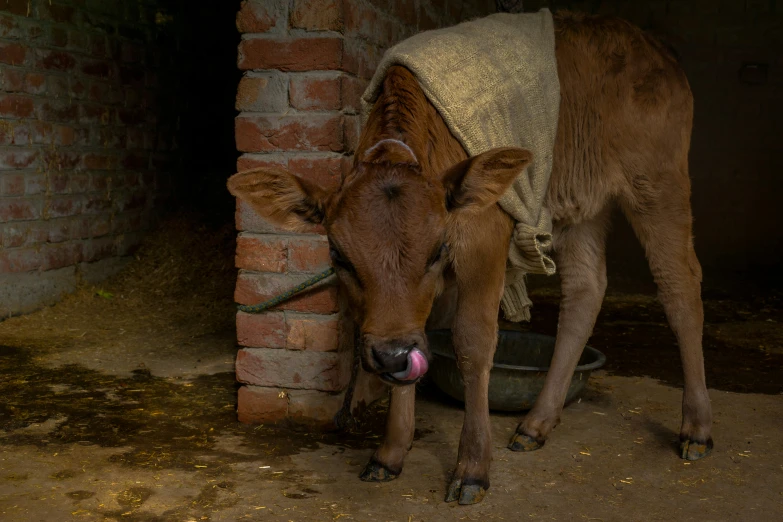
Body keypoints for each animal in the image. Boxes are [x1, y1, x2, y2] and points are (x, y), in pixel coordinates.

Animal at [227, 12, 712, 504]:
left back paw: (696, 428)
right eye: (338, 256)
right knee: (585, 288)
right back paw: (536, 424)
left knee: (679, 283)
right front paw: (390, 452)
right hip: (582, 203)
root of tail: (654, 46)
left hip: (658, 179)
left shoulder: (483, 239)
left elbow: (473, 344)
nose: (390, 355)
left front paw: (473, 468)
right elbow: (417, 335)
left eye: (439, 250)